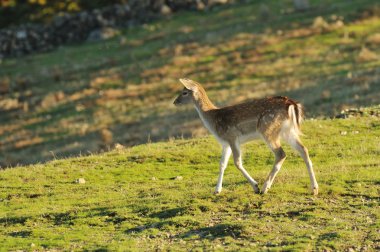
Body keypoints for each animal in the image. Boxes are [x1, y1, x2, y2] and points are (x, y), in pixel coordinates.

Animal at [174, 78, 320, 195]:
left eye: (184, 92)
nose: (175, 102)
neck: (213, 119)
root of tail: (291, 104)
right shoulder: (225, 143)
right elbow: (222, 164)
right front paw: (216, 190)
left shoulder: (232, 137)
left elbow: (237, 162)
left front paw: (255, 186)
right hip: (288, 131)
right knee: (303, 149)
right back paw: (314, 189)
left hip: (268, 129)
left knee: (281, 154)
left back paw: (265, 188)